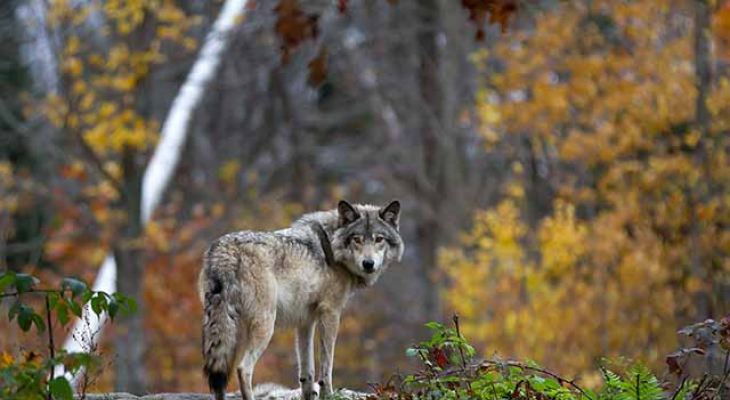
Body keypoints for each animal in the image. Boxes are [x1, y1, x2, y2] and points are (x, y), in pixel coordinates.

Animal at [199, 200, 404, 400]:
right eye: (357, 239)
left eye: (379, 239)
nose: (368, 264)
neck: (331, 246)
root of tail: (224, 250)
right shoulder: (330, 313)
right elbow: (326, 366)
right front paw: (328, 394)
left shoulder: (305, 321)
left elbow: (307, 372)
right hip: (265, 325)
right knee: (243, 369)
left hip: (225, 329)